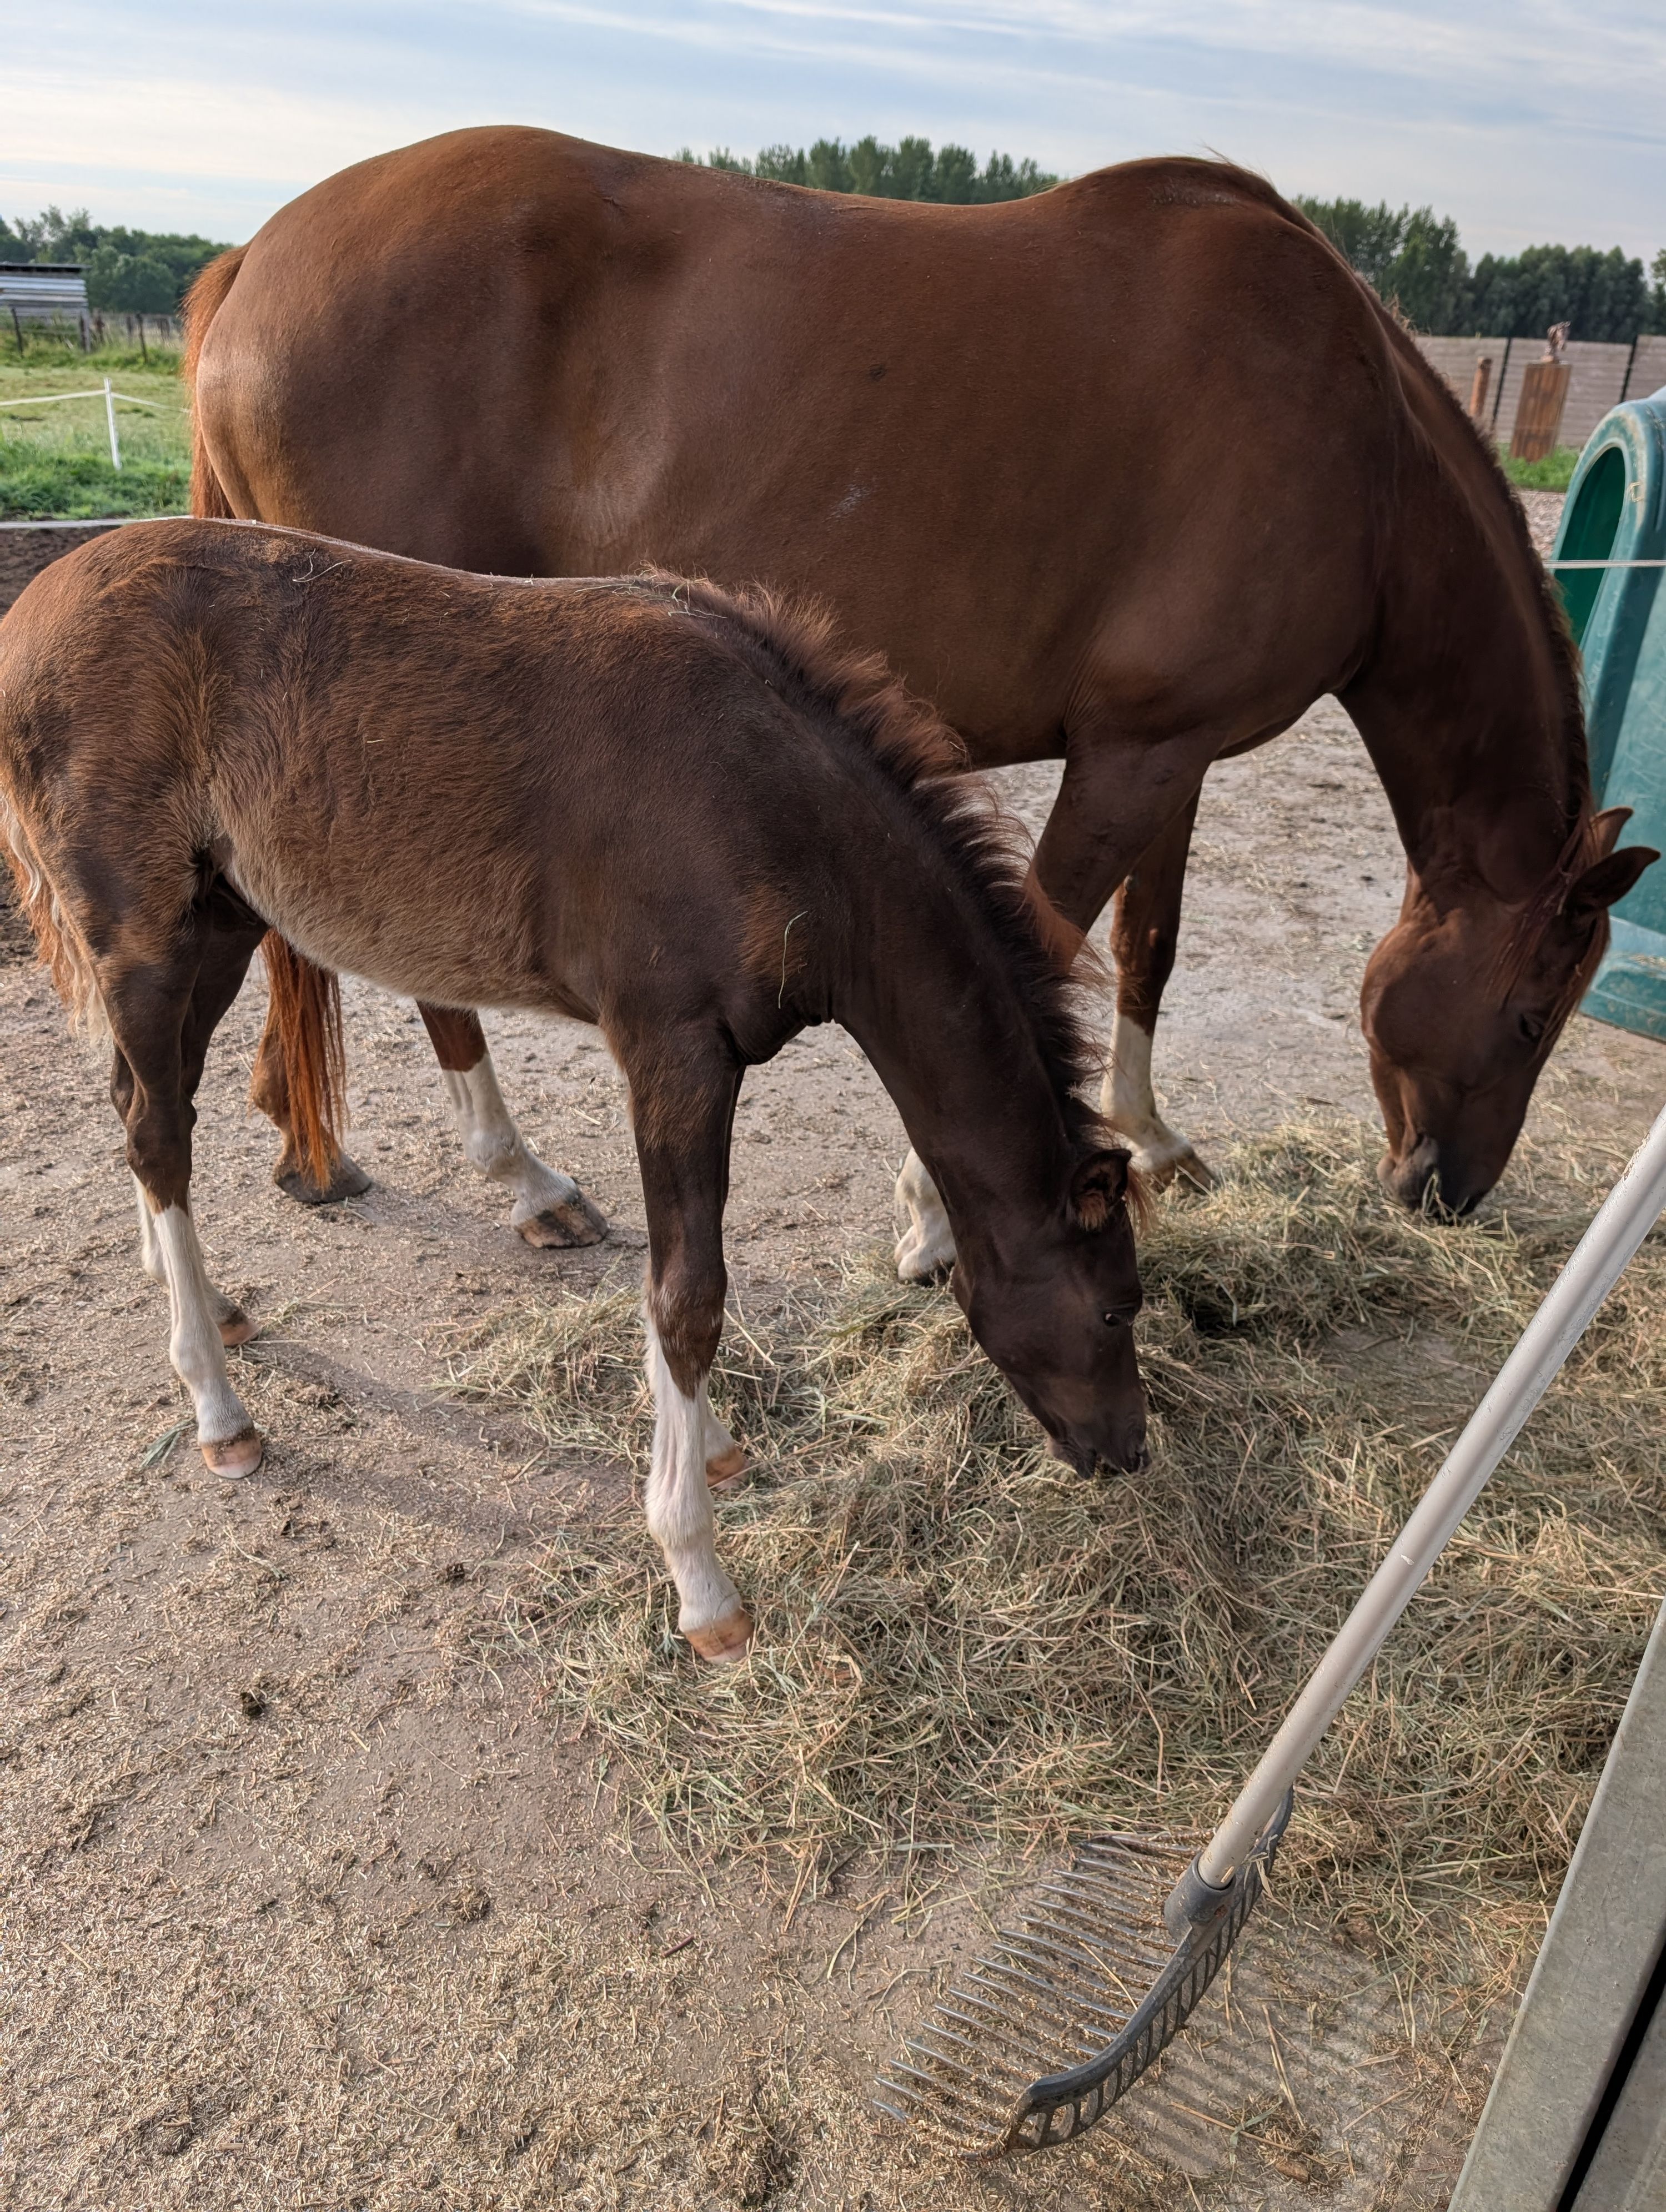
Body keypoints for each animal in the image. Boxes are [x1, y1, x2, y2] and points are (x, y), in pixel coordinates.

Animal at [0, 519, 1148, 1662]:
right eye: (1113, 1307)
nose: (1126, 1454)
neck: (777, 814)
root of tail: (36, 607)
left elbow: (677, 1284)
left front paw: (712, 1448)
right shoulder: (675, 1050)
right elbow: (688, 1293)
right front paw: (700, 1578)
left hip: (224, 920)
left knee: (147, 1104)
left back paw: (202, 1295)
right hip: (145, 936)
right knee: (157, 1135)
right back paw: (218, 1407)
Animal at [186, 131, 1657, 1270]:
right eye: (1531, 1014)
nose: (1446, 1193)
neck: (1360, 450)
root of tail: (251, 261)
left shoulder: (1171, 751)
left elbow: (1150, 946)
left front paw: (1153, 1134)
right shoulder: (1126, 758)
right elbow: (1053, 940)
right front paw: (939, 1215)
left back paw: (313, 1147)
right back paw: (525, 1176)